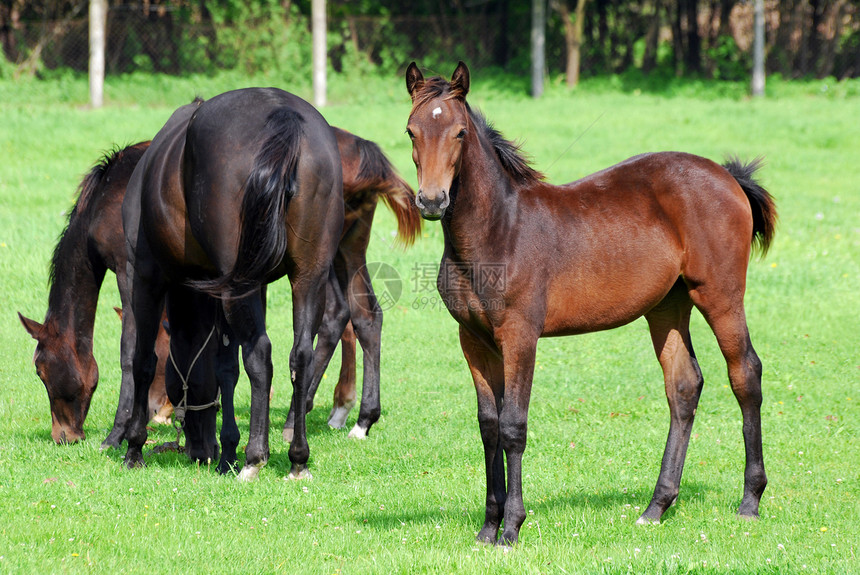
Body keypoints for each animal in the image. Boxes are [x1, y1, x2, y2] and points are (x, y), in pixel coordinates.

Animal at [18, 124, 422, 452]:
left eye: (40, 370)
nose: (64, 436)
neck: (108, 195)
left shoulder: (131, 272)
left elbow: (131, 350)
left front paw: (119, 433)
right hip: (344, 250)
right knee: (362, 316)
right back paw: (356, 418)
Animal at [124, 88, 346, 480]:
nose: (198, 450)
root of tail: (284, 116)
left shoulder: (146, 276)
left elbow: (144, 359)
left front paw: (134, 447)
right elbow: (226, 366)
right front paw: (227, 449)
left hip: (237, 284)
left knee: (261, 354)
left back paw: (255, 457)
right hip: (308, 275)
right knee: (300, 354)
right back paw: (297, 457)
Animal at [406, 60, 776, 548]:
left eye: (460, 132)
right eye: (411, 131)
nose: (431, 201)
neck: (498, 230)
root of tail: (728, 175)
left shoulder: (520, 336)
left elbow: (513, 426)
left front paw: (511, 528)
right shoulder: (474, 339)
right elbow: (488, 427)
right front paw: (487, 528)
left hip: (719, 294)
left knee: (745, 374)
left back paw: (750, 501)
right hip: (667, 306)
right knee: (683, 385)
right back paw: (655, 508)